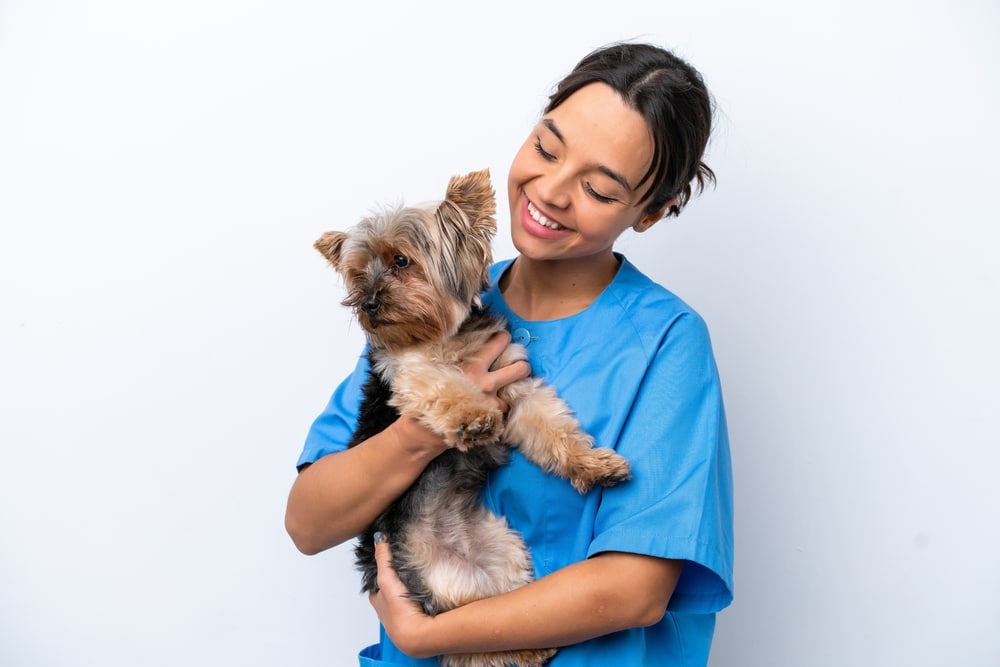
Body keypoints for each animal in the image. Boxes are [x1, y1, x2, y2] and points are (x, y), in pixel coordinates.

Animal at [314, 168, 632, 667]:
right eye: (358, 273)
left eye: (401, 261)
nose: (367, 304)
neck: (444, 337)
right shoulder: (410, 374)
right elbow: (445, 387)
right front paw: (474, 418)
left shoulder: (516, 385)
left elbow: (552, 427)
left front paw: (595, 465)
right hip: (437, 582)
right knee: (465, 635)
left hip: (505, 553)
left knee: (493, 619)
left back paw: (532, 645)